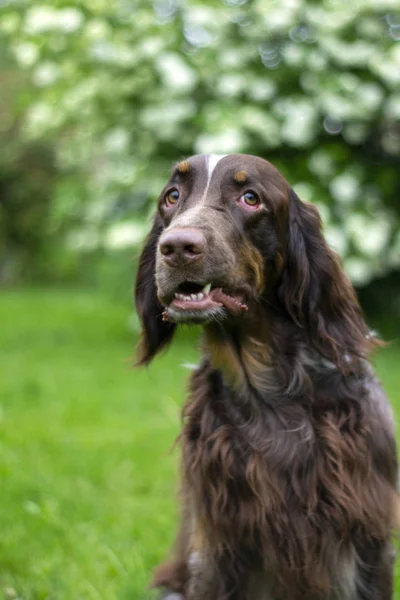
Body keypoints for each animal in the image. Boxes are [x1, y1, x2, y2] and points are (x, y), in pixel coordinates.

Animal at [135, 155, 396, 600]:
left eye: (250, 198)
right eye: (172, 196)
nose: (176, 246)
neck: (267, 389)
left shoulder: (369, 528)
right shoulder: (218, 539)